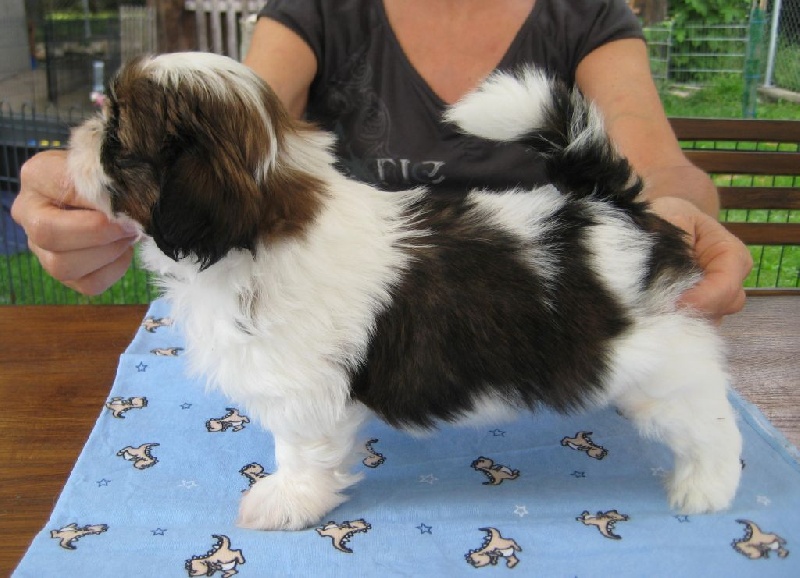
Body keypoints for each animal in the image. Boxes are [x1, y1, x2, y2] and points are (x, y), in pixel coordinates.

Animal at [67, 52, 742, 530]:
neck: (261, 233)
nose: (82, 130)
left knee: (706, 411)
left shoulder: (302, 394)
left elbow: (298, 451)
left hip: (650, 359)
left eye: (117, 137)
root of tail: (614, 211)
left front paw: (286, 501)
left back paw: (707, 483)